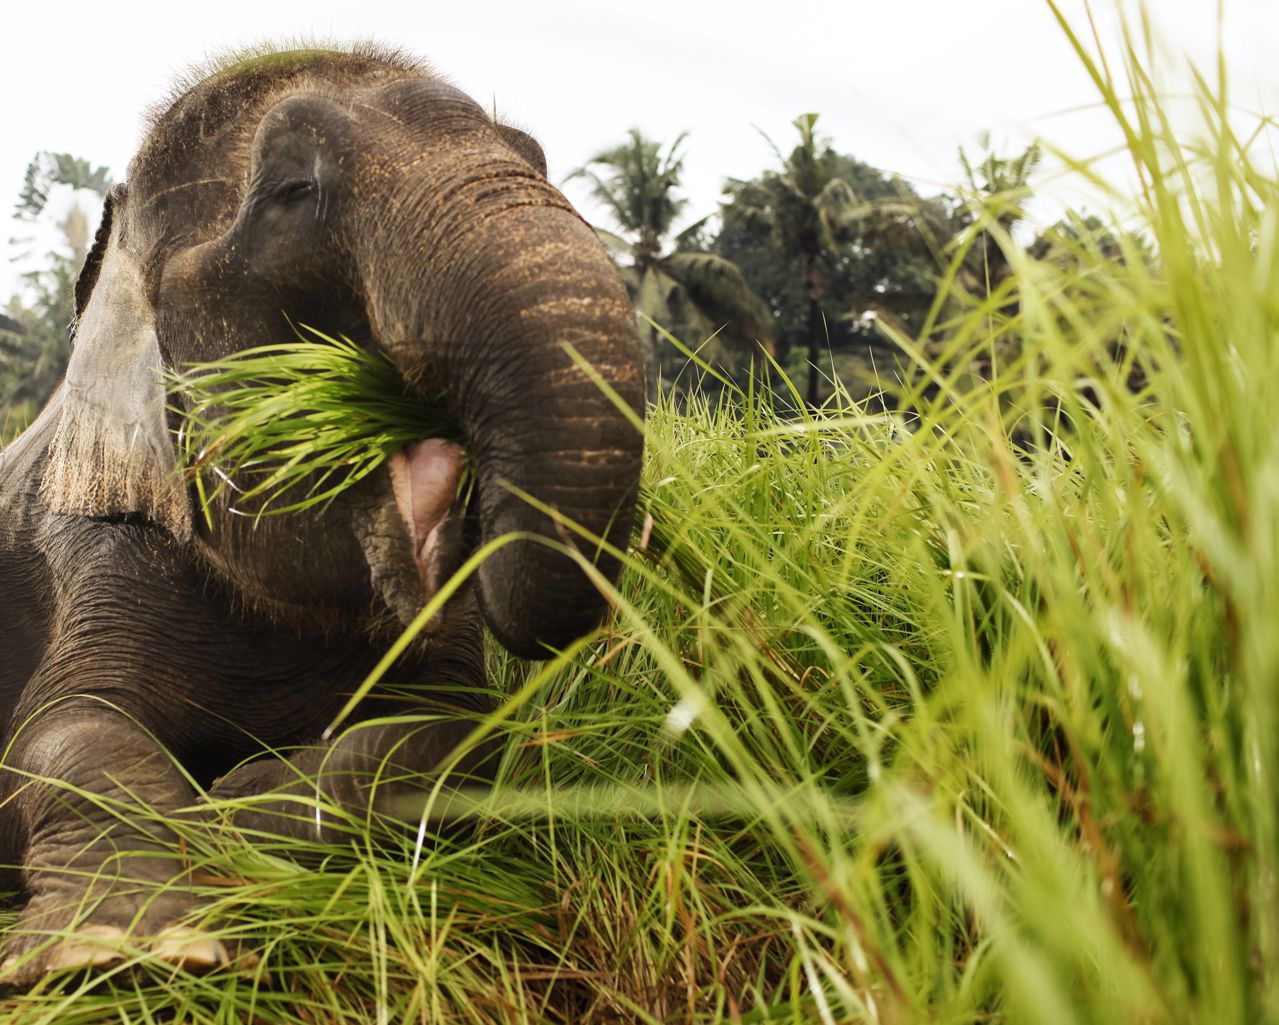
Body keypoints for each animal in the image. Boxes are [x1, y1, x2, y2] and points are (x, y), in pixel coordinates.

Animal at [0, 46, 644, 982]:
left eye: (539, 159)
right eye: (292, 190)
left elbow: (456, 731)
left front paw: (227, 810)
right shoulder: (94, 546)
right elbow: (62, 729)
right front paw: (127, 945)